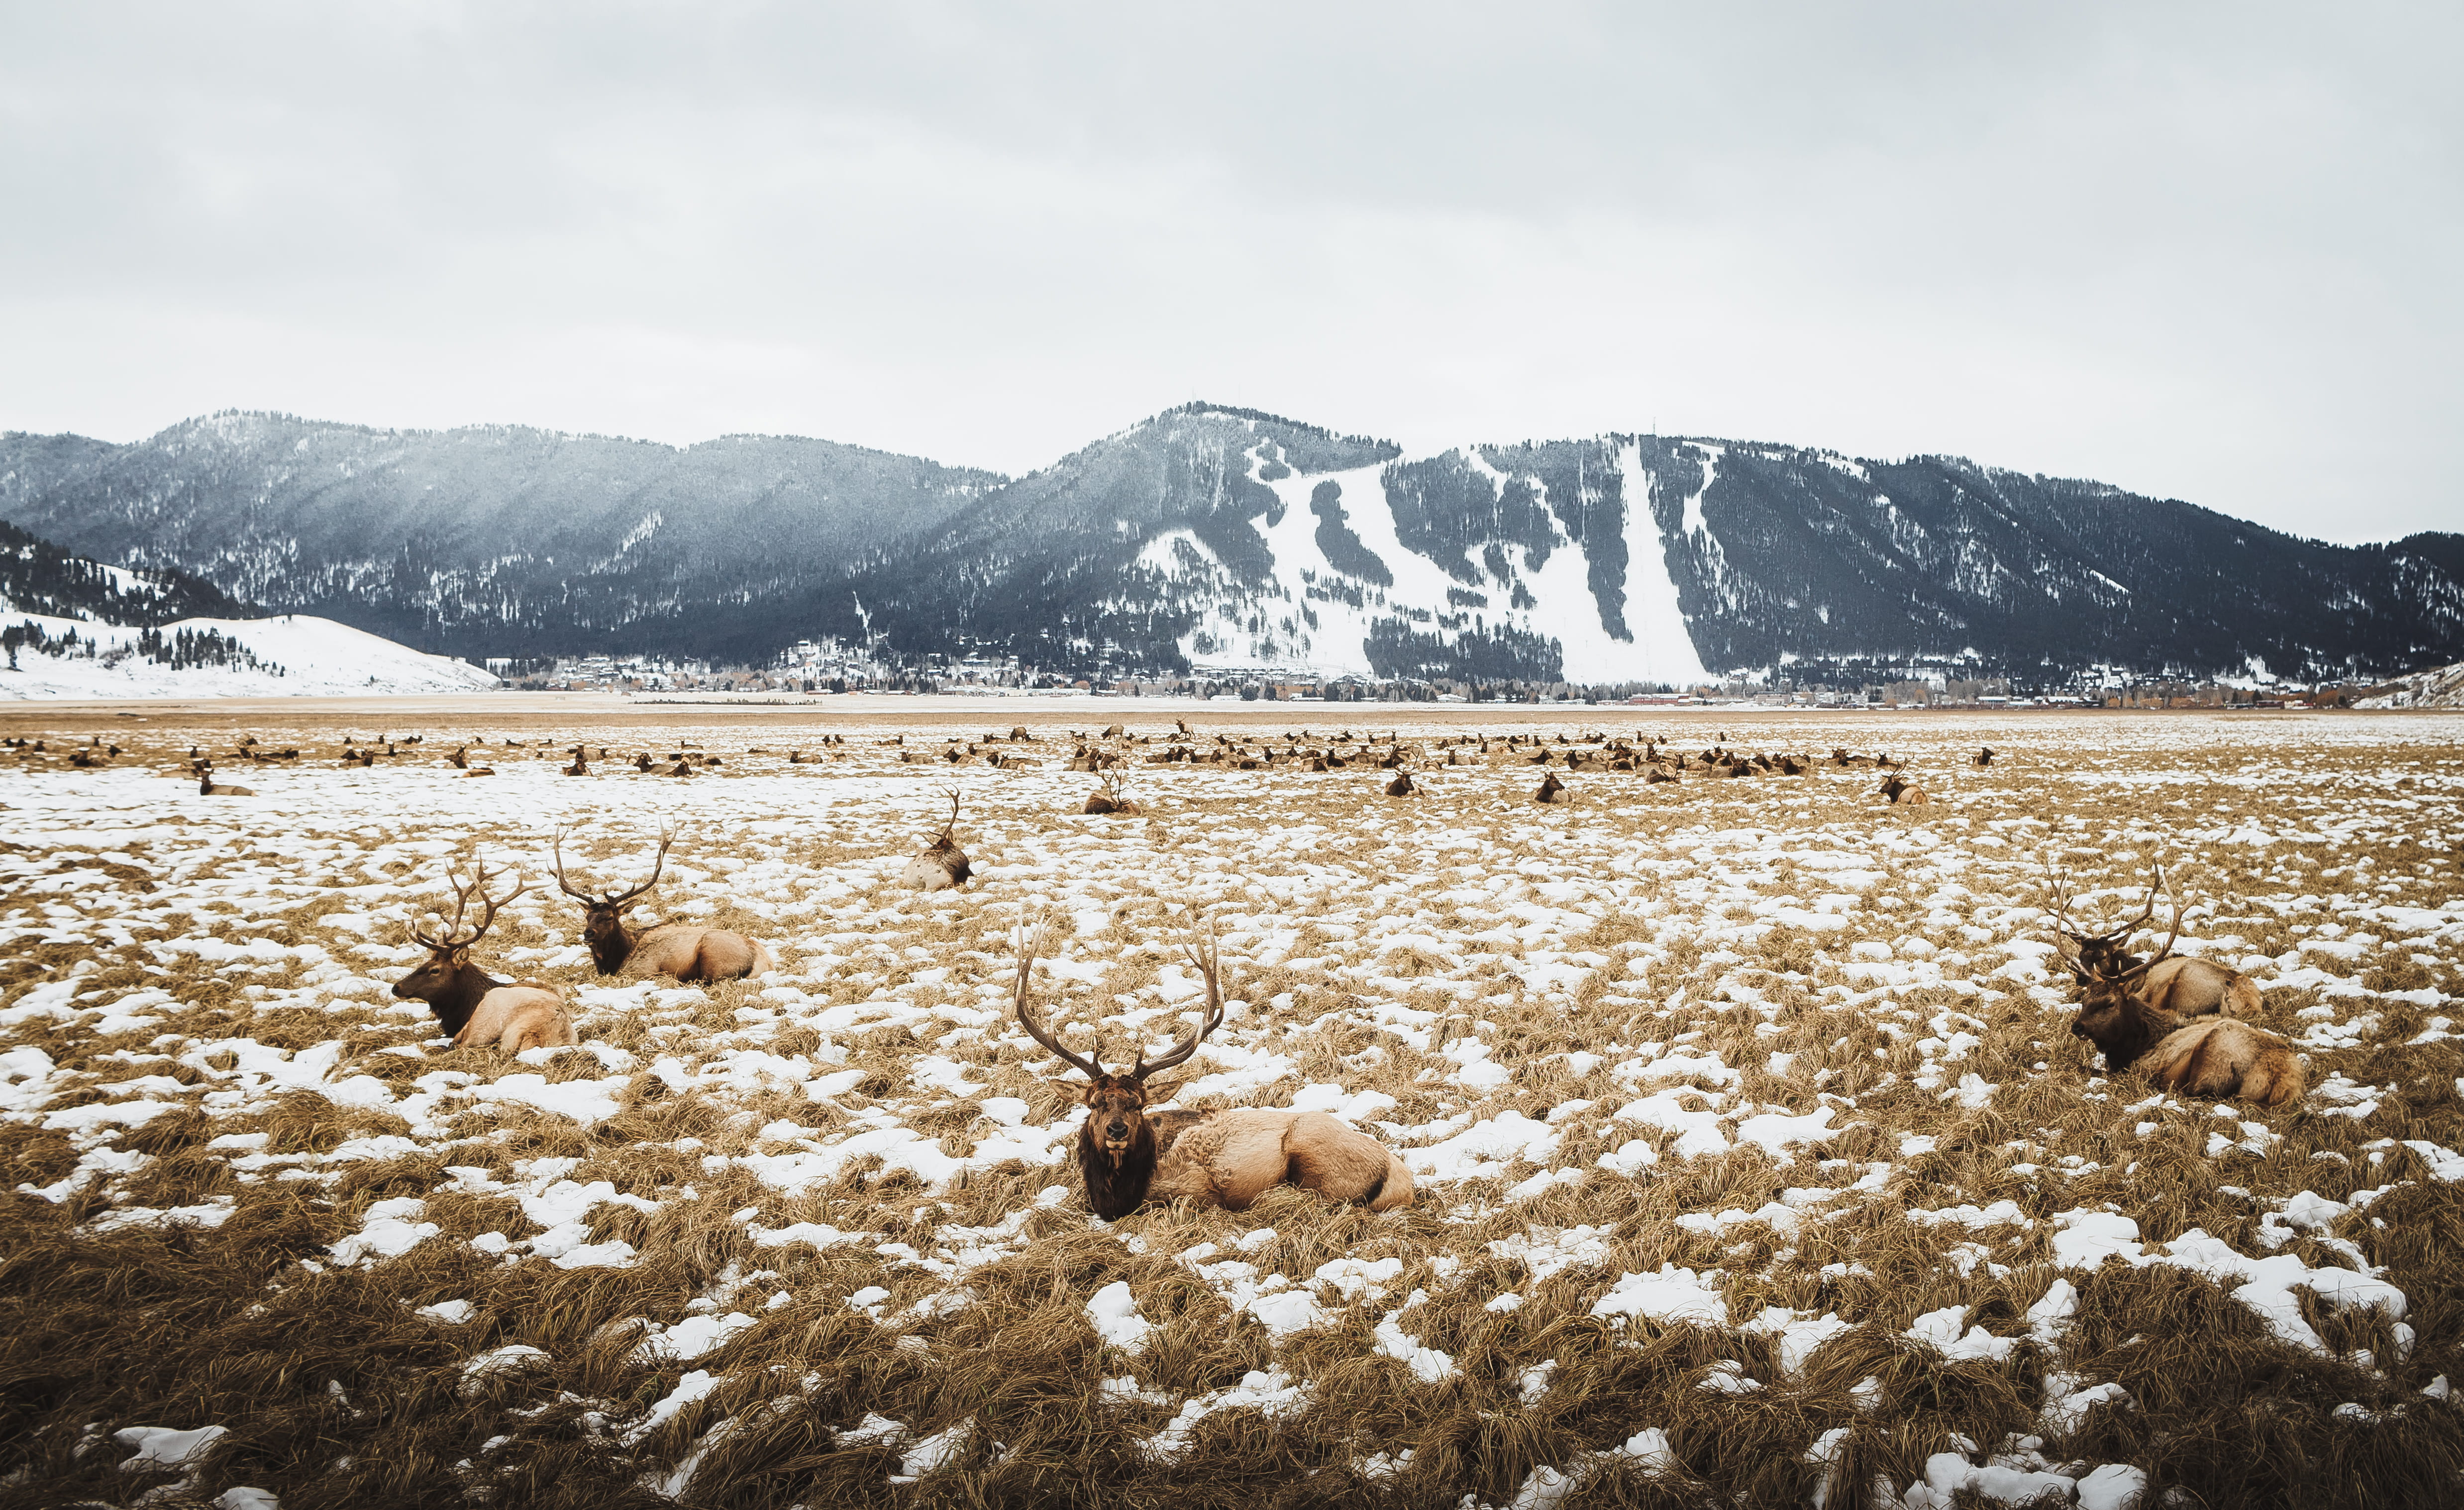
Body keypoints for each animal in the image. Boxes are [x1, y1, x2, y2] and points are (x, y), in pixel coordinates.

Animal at [552, 830, 776, 982]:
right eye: (587, 917)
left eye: (609, 917)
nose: (588, 933)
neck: (614, 961)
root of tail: (764, 962)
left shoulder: (643, 971)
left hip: (714, 958)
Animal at [1013, 920, 1412, 1221]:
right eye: (1095, 1104)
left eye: (1138, 1105)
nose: (1117, 1130)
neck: (1115, 1197)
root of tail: (1401, 1177)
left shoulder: (1192, 1186)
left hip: (1314, 1153)